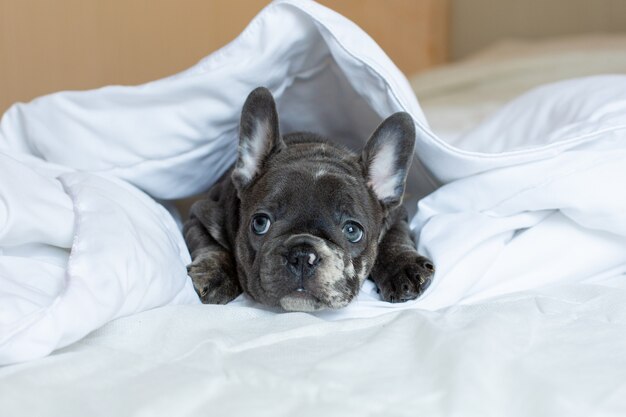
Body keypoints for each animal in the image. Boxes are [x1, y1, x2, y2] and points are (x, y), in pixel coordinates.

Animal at [183, 86, 432, 310]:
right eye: (260, 223)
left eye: (353, 231)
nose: (302, 256)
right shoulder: (200, 214)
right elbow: (211, 245)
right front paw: (216, 274)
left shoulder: (397, 215)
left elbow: (394, 239)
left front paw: (404, 267)